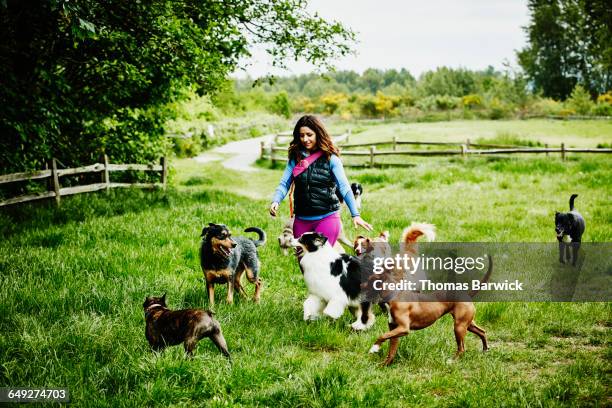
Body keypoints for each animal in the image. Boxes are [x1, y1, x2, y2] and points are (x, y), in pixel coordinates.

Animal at [366, 225, 490, 364]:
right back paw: (485, 349)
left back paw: (452, 361)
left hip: (459, 326)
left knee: (462, 348)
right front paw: (383, 365)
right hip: (467, 323)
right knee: (482, 332)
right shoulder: (394, 329)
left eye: (369, 280)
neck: (394, 295)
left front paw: (374, 348)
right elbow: (391, 351)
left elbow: (382, 336)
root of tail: (466, 294)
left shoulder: (403, 328)